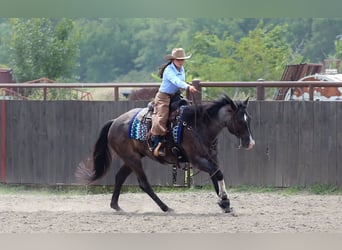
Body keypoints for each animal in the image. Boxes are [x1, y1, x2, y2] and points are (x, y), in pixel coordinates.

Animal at [76, 94, 255, 213]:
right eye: (240, 120)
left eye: (249, 119)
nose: (251, 143)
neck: (199, 125)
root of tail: (115, 121)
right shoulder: (197, 160)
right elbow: (218, 174)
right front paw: (224, 200)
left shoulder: (211, 157)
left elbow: (216, 175)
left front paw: (225, 204)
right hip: (133, 160)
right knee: (144, 184)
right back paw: (166, 207)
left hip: (132, 158)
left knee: (120, 177)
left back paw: (116, 206)